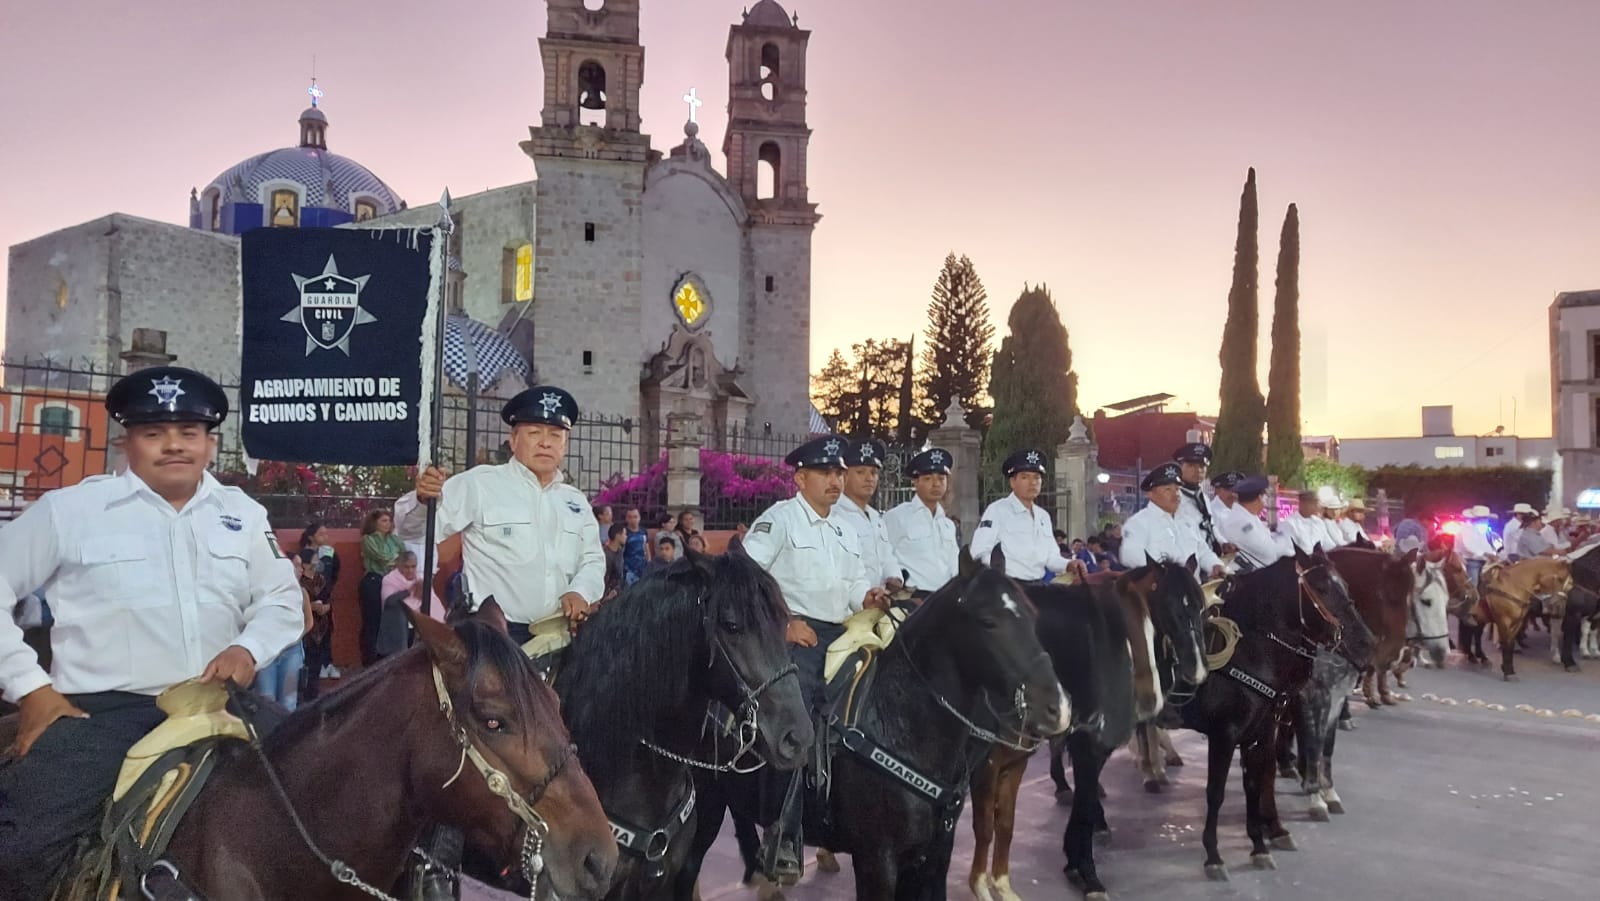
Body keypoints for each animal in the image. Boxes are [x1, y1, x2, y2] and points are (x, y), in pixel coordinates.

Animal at [675, 551, 1071, 901]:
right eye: (987, 621)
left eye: (1033, 615)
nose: (1058, 709)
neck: (899, 724)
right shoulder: (877, 861)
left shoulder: (933, 857)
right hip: (704, 809)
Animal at [1171, 549, 1352, 880]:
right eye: (1321, 588)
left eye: (1343, 584)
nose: (1341, 632)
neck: (1248, 652)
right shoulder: (1224, 734)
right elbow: (1215, 792)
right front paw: (1213, 856)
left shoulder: (1259, 732)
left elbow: (1254, 785)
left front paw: (1259, 845)